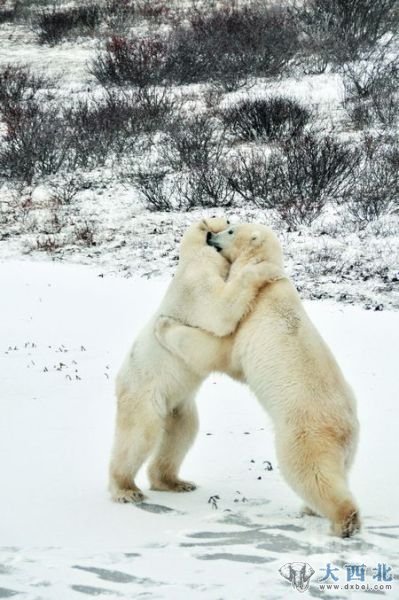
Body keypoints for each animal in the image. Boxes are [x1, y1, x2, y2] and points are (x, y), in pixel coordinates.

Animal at [109, 218, 284, 504]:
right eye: (227, 222)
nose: (222, 224)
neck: (194, 255)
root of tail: (119, 383)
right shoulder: (195, 283)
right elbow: (219, 310)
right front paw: (267, 268)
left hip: (179, 404)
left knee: (182, 433)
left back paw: (175, 482)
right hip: (144, 394)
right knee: (139, 435)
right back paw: (125, 489)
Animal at [156, 223, 362, 536]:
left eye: (230, 229)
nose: (210, 236)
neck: (267, 285)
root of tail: (346, 428)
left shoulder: (245, 318)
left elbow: (215, 348)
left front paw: (164, 325)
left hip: (303, 433)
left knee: (310, 472)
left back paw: (343, 521)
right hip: (346, 448)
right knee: (340, 471)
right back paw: (311, 509)